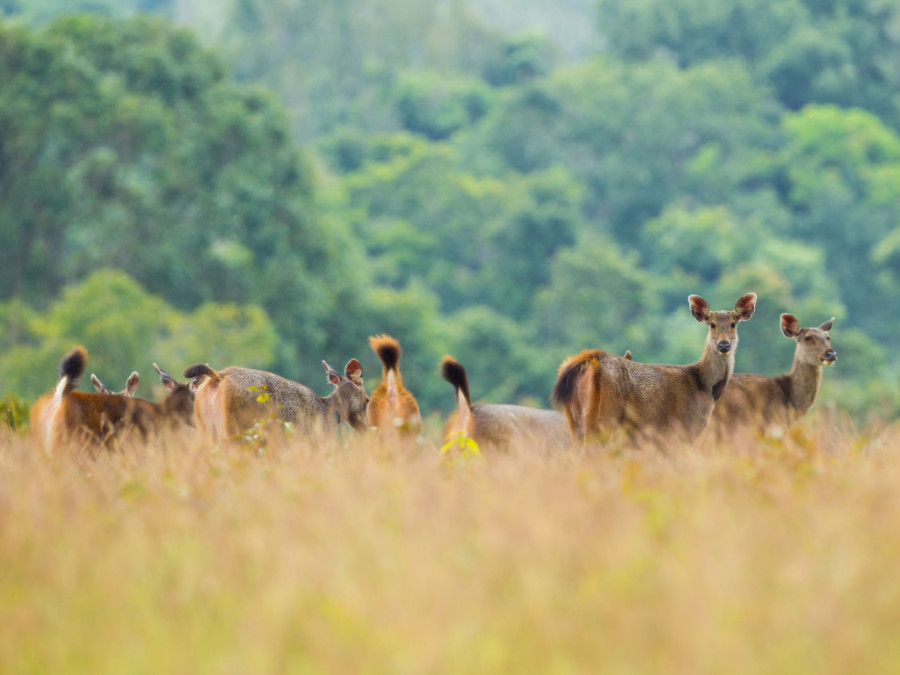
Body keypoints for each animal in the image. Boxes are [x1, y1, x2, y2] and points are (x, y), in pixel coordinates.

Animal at [183, 360, 370, 438]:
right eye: (367, 399)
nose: (368, 428)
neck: (328, 412)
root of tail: (218, 376)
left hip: (206, 431)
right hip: (236, 431)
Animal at [552, 292, 756, 444]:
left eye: (733, 324)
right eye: (712, 324)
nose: (724, 345)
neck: (704, 387)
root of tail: (589, 359)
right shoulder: (683, 429)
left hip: (575, 420)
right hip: (605, 417)